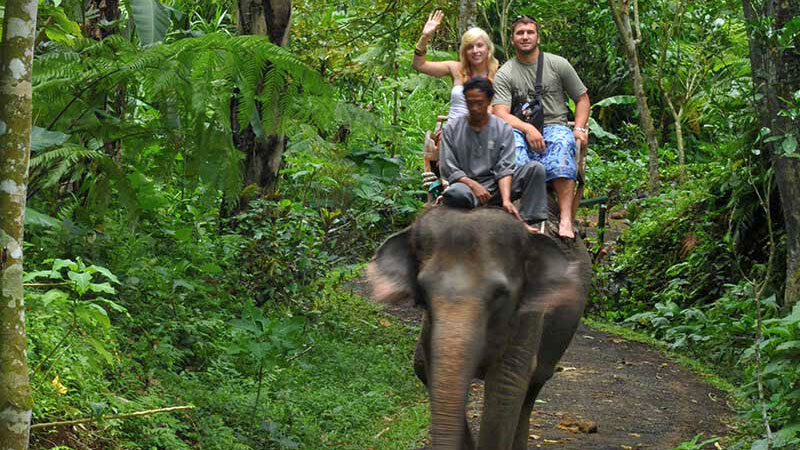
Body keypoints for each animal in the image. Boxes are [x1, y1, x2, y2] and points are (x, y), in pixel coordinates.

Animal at [368, 206, 588, 448]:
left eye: (500, 293)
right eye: (423, 291)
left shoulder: (528, 315)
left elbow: (505, 384)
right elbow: (430, 369)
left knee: (534, 384)